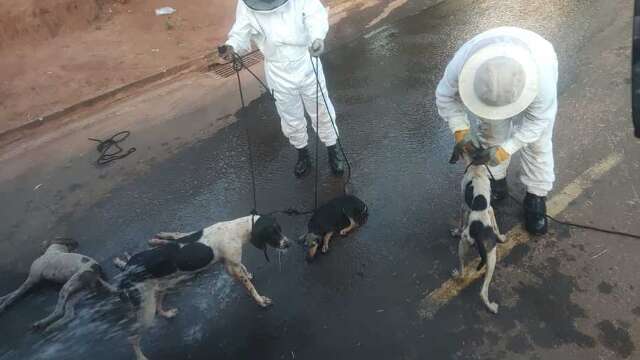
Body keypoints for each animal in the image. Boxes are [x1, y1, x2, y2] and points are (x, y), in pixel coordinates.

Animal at [114, 215, 288, 360]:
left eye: (280, 229)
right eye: (273, 233)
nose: (288, 243)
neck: (236, 229)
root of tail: (127, 270)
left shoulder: (229, 265)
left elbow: (243, 268)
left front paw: (249, 275)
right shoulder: (232, 267)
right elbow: (250, 287)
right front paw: (261, 301)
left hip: (159, 289)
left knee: (158, 308)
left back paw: (167, 313)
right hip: (146, 310)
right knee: (133, 338)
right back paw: (141, 357)